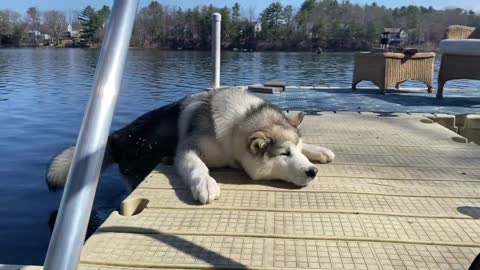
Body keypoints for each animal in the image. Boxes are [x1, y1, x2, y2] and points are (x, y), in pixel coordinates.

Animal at [47, 87, 334, 204]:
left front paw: (319, 150)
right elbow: (197, 166)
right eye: (284, 154)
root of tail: (117, 137)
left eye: (297, 149)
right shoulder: (187, 149)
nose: (312, 172)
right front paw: (206, 184)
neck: (240, 121)